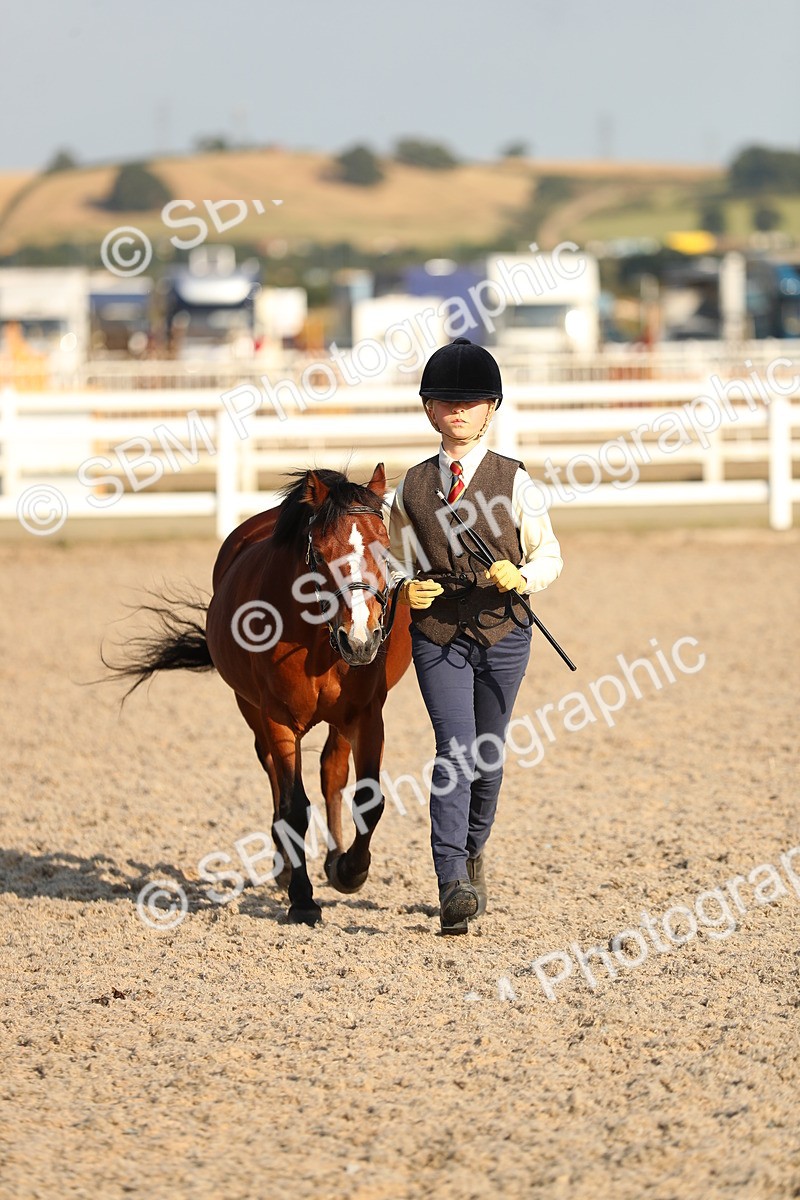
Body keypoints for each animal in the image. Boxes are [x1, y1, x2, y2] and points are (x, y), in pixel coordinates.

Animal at [112, 463, 412, 925]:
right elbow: (293, 806)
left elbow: (368, 798)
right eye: (319, 554)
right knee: (274, 772)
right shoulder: (277, 719)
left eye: (383, 549)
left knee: (331, 770)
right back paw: (285, 867)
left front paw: (350, 870)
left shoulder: (365, 715)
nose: (360, 640)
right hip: (252, 710)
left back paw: (333, 859)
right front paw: (302, 898)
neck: (317, 640)